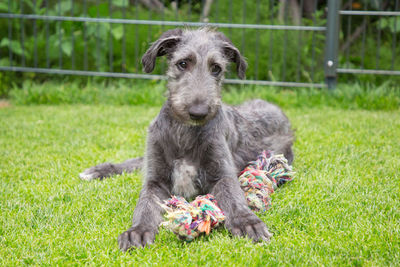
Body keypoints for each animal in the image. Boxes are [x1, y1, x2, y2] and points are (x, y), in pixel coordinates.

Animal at [80, 27, 294, 253]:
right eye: (182, 63)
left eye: (216, 68)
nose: (198, 112)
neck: (184, 132)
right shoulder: (155, 179)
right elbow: (145, 204)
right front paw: (137, 230)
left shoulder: (222, 173)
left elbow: (233, 197)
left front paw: (247, 222)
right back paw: (99, 170)